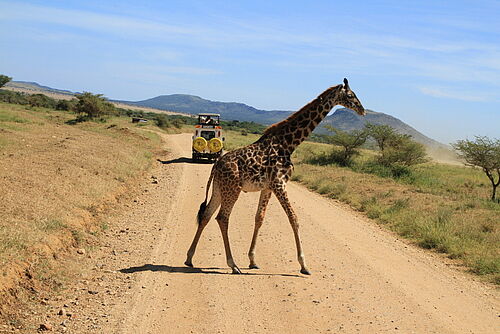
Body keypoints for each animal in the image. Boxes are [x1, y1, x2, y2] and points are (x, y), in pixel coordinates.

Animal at [186, 78, 366, 274]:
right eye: (351, 95)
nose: (362, 110)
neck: (288, 144)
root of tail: (216, 165)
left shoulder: (268, 187)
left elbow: (259, 218)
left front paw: (253, 260)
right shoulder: (280, 183)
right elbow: (294, 218)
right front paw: (304, 265)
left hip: (219, 188)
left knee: (206, 215)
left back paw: (189, 258)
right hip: (232, 189)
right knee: (222, 218)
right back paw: (233, 264)